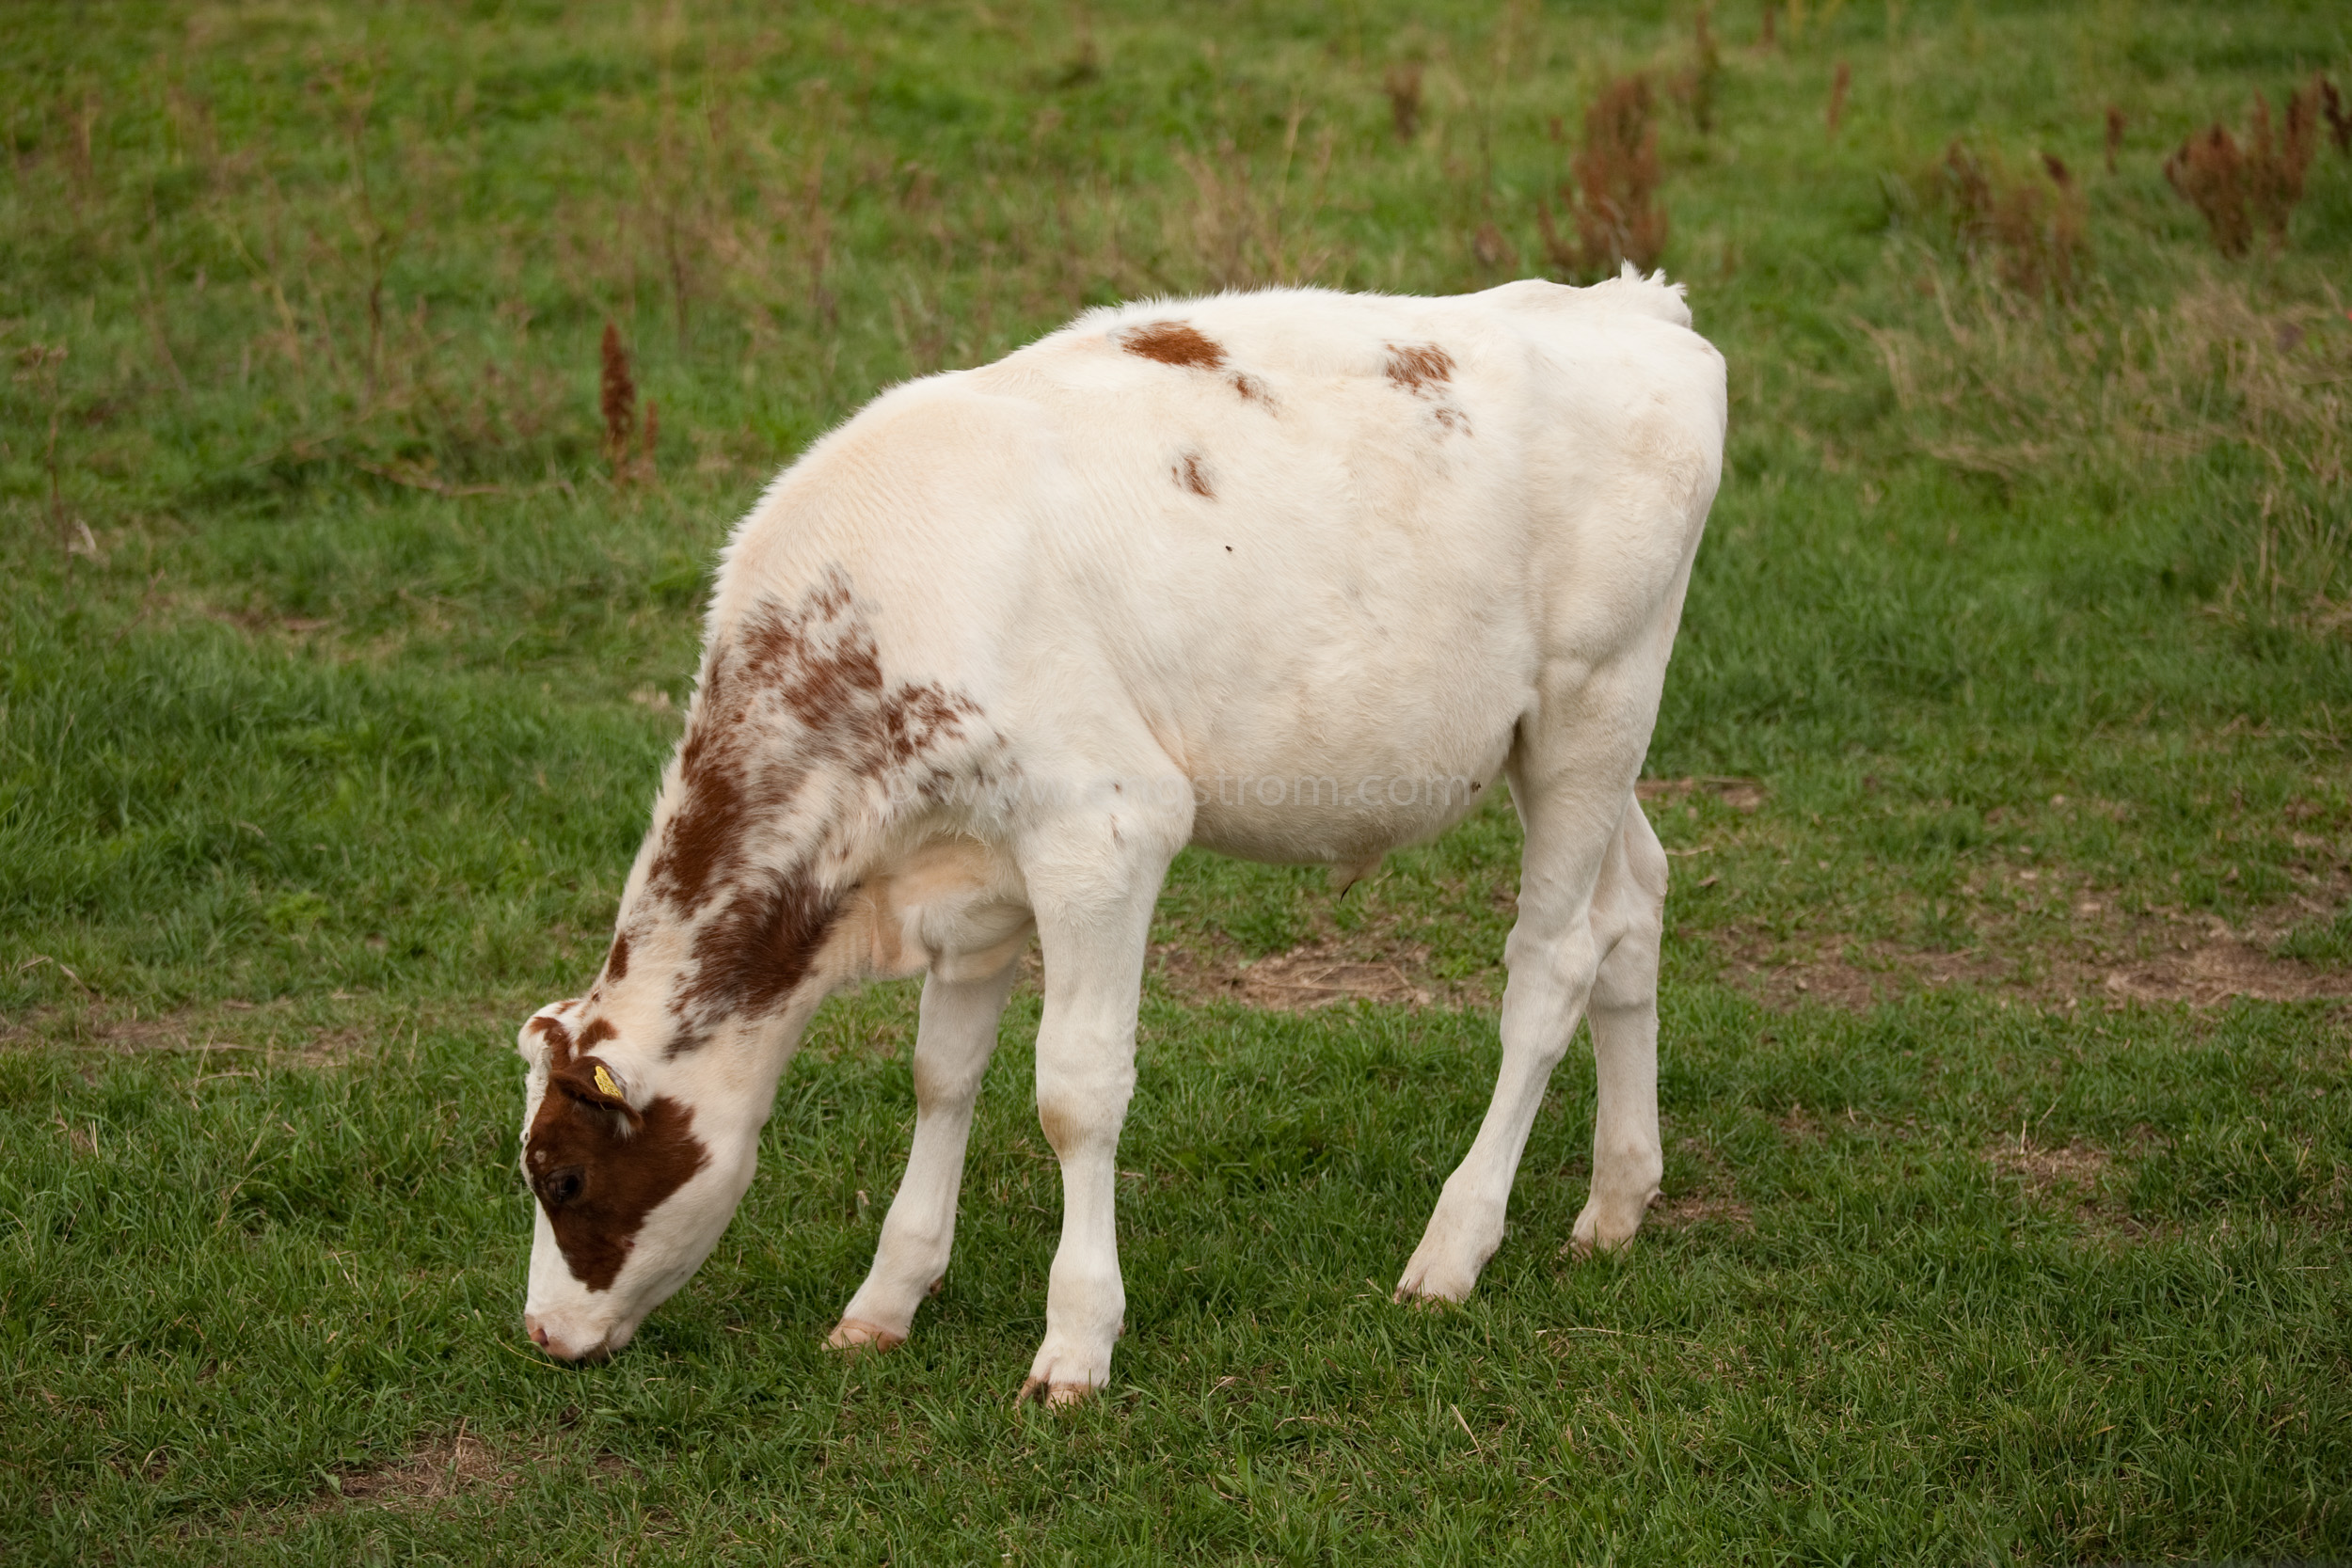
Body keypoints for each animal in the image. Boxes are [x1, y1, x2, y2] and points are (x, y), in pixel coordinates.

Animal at [515, 266, 1731, 1401]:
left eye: (560, 1177)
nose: (541, 1335)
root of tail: (1633, 304)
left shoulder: (1103, 830)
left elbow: (1074, 1091)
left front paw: (1075, 1342)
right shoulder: (970, 874)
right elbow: (941, 1073)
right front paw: (886, 1297)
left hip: (1594, 696)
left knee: (1553, 961)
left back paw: (1453, 1248)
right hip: (1558, 736)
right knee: (1633, 903)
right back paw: (1617, 1197)